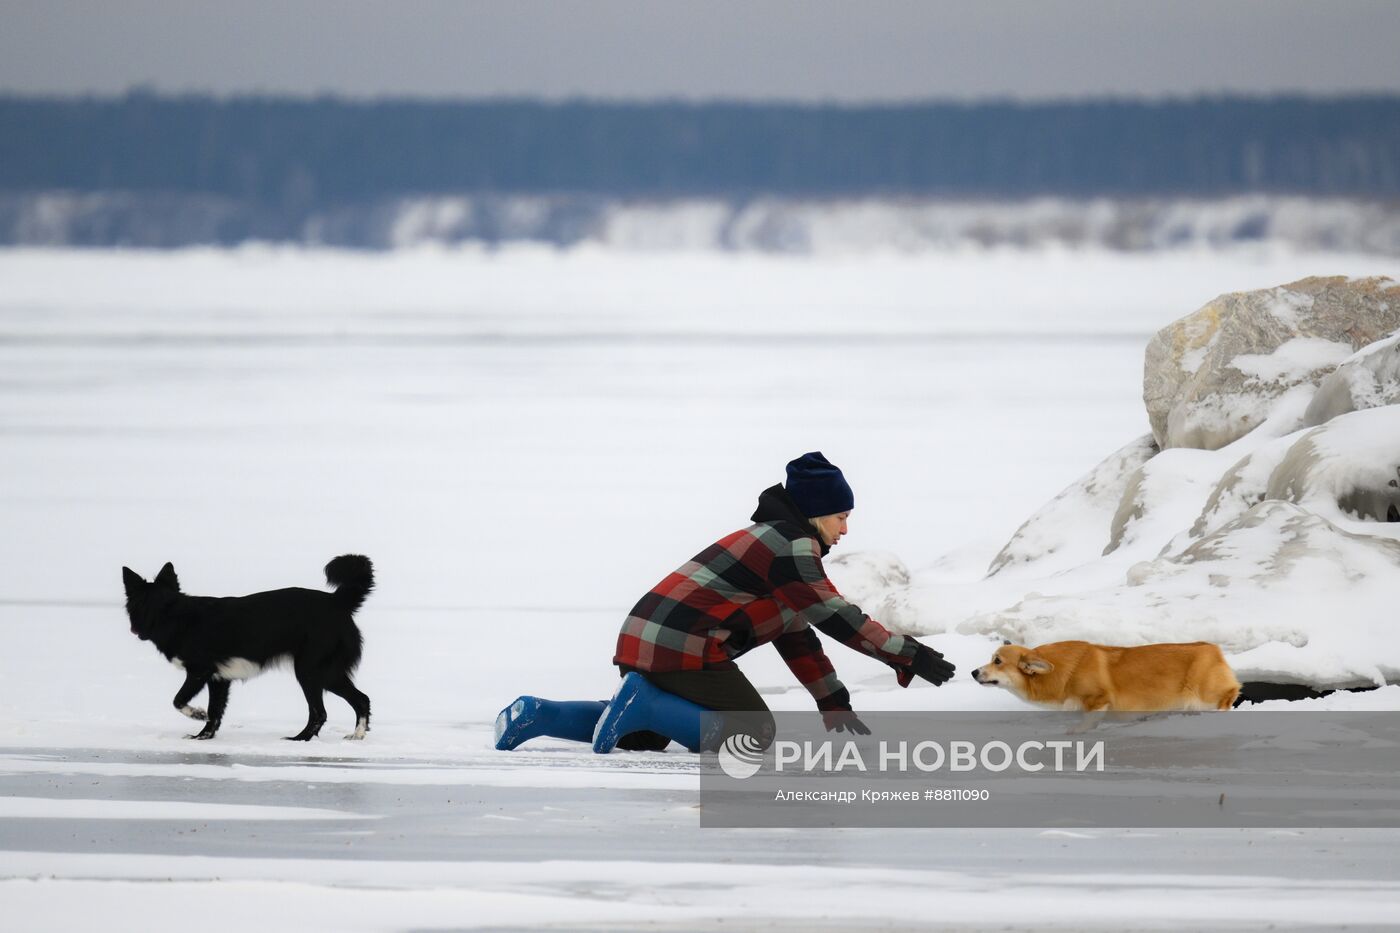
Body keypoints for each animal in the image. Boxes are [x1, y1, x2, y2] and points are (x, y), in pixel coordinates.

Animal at [123, 551, 375, 739]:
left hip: (311, 671)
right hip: (325, 672)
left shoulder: (199, 671)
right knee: (361, 699)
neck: (174, 616)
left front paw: (197, 715)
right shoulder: (219, 678)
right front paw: (203, 737)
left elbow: (178, 700)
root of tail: (337, 601)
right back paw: (357, 735)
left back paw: (300, 739)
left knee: (322, 712)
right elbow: (215, 712)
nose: (137, 630)